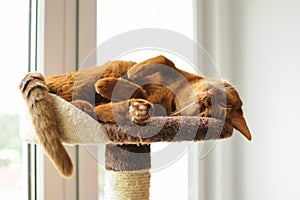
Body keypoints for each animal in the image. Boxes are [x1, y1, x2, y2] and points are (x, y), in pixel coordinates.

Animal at [19, 55, 252, 178]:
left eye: (208, 113)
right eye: (223, 101)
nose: (206, 101)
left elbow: (137, 91)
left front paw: (125, 94)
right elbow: (163, 60)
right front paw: (133, 76)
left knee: (89, 107)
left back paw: (132, 109)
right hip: (104, 69)